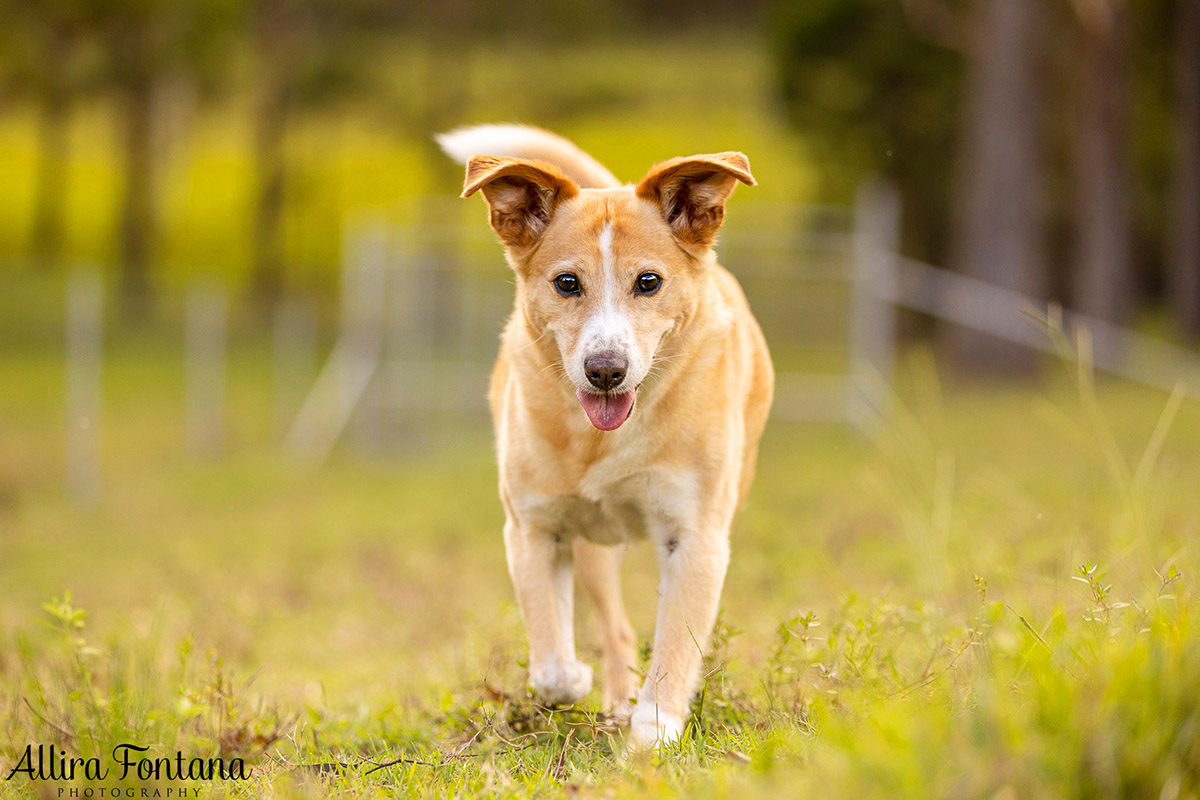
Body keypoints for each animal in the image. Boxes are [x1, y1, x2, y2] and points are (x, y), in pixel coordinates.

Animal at [436, 125, 772, 753]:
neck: (603, 442)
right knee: (613, 627)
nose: (606, 370)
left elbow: (676, 641)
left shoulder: (696, 536)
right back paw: (613, 700)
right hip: (594, 551)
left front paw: (655, 730)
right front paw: (576, 681)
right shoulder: (533, 529)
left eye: (649, 282)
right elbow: (551, 661)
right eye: (567, 282)